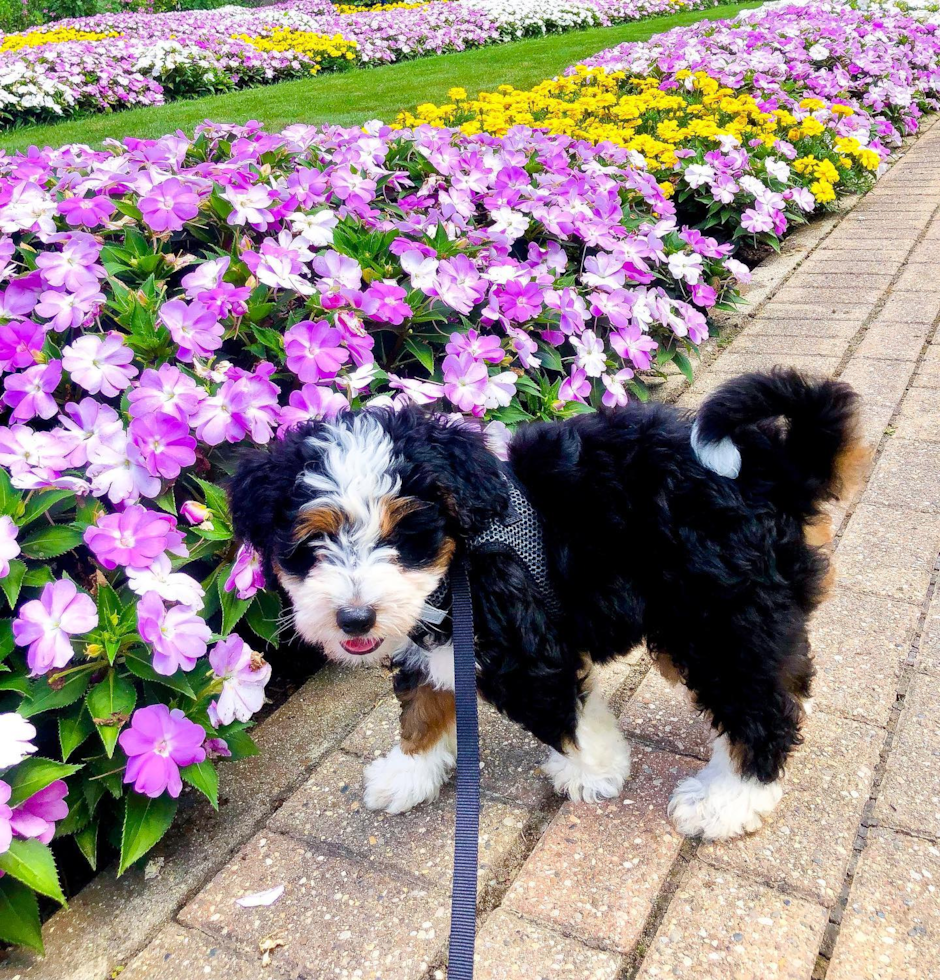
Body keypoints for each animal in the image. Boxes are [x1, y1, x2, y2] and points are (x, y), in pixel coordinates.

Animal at [229, 368, 868, 844]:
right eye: (313, 541)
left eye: (404, 534)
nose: (355, 618)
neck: (464, 553)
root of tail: (775, 469)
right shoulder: (429, 638)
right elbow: (423, 706)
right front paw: (408, 771)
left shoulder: (524, 651)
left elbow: (562, 715)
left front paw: (596, 771)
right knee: (777, 679)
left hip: (718, 616)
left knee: (760, 708)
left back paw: (726, 799)